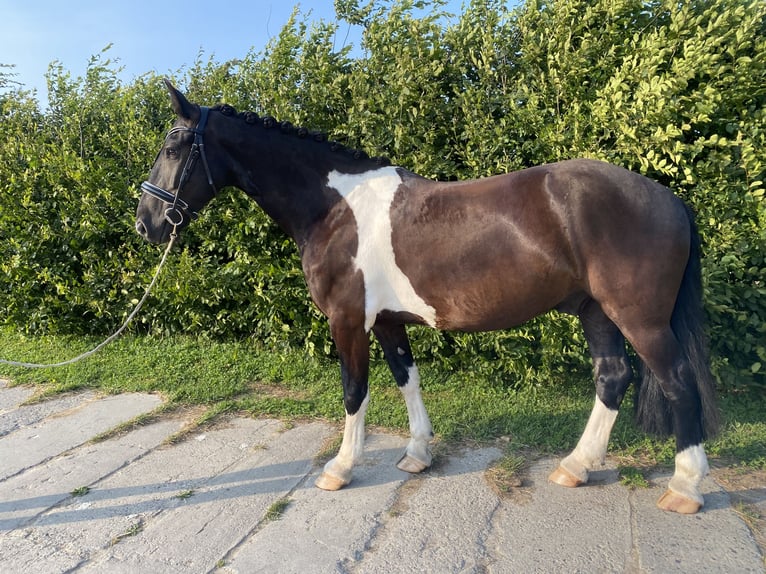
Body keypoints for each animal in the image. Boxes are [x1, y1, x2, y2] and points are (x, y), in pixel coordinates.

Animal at [136, 81, 719, 514]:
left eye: (173, 145)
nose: (147, 224)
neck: (334, 208)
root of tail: (668, 198)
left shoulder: (348, 321)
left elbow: (354, 391)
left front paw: (340, 469)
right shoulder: (387, 322)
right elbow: (406, 379)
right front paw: (417, 453)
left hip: (640, 319)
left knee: (677, 382)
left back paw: (684, 487)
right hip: (596, 311)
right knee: (612, 378)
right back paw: (575, 467)